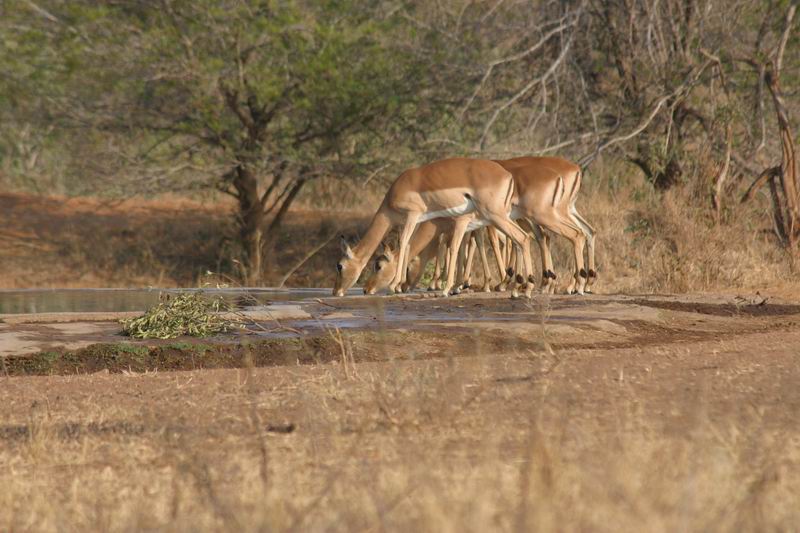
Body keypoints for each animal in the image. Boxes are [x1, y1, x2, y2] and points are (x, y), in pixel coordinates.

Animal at [333, 158, 536, 298]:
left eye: (340, 265)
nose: (336, 291)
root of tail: (508, 175)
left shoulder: (412, 215)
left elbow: (404, 242)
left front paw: (393, 286)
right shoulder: (415, 220)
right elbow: (408, 246)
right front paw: (400, 286)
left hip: (495, 215)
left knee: (521, 238)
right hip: (499, 217)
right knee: (522, 239)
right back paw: (520, 288)